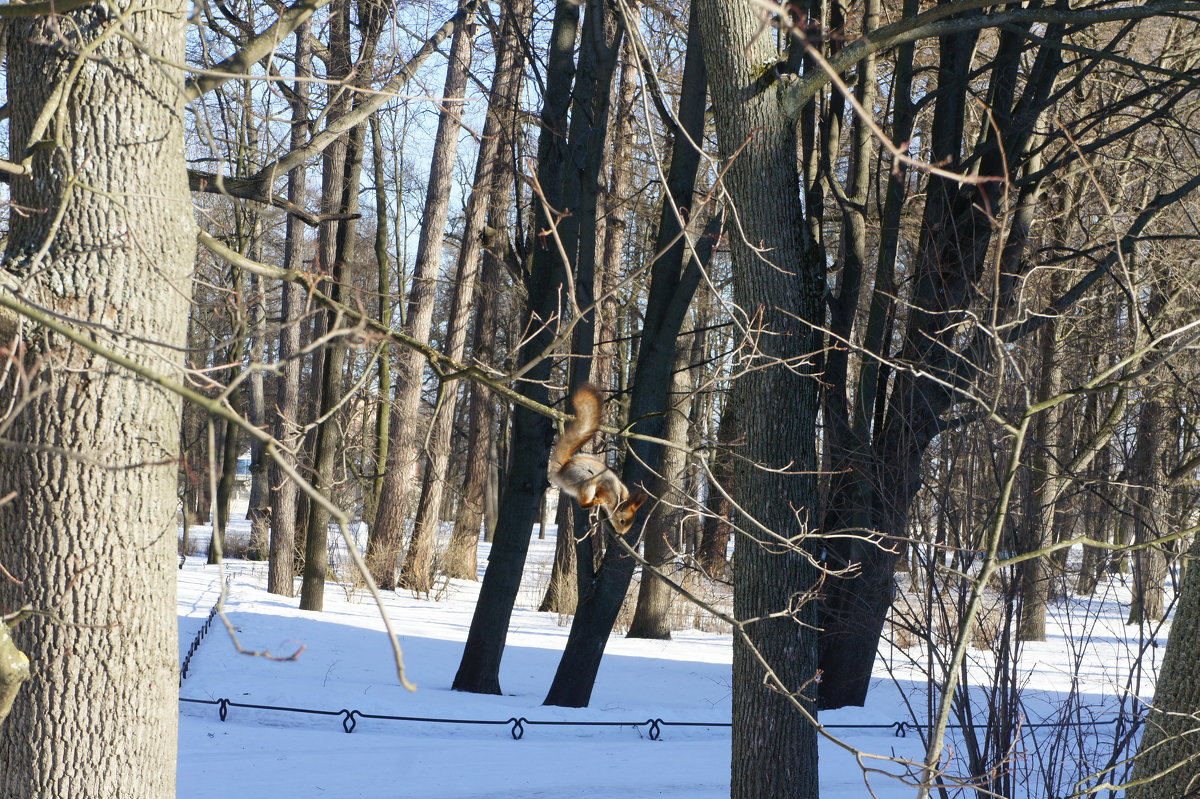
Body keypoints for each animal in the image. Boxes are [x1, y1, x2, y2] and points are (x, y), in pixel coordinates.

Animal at [549, 383, 648, 532]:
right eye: (623, 521)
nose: (620, 533)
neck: (618, 498)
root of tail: (560, 474)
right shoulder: (606, 488)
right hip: (586, 480)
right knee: (582, 503)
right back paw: (593, 501)